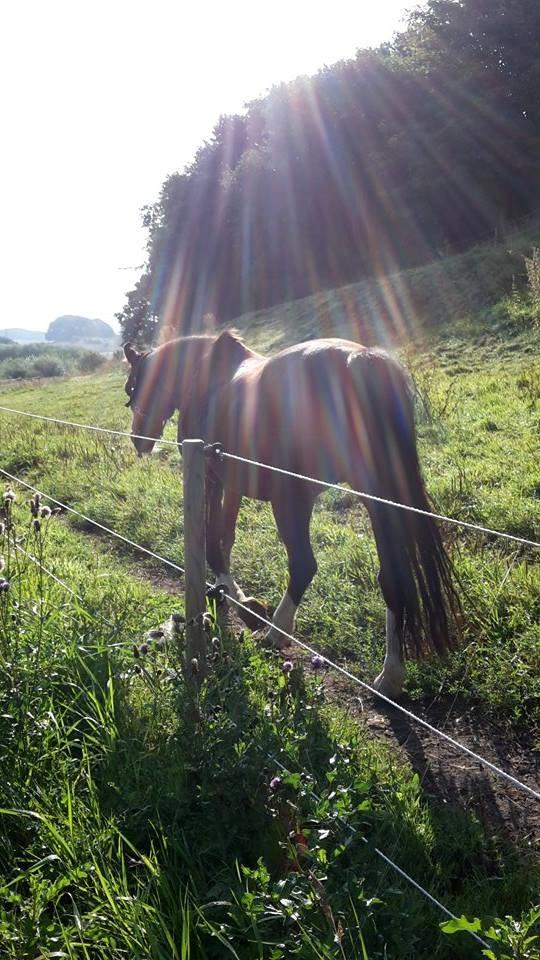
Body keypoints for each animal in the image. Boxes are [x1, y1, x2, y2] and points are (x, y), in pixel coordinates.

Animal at [123, 332, 460, 696]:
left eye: (132, 385)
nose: (137, 438)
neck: (202, 377)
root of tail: (360, 361)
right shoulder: (234, 482)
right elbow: (225, 537)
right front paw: (235, 597)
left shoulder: (213, 478)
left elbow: (213, 542)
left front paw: (243, 605)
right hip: (377, 500)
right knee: (392, 579)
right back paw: (391, 676)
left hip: (292, 500)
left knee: (303, 565)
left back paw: (276, 633)